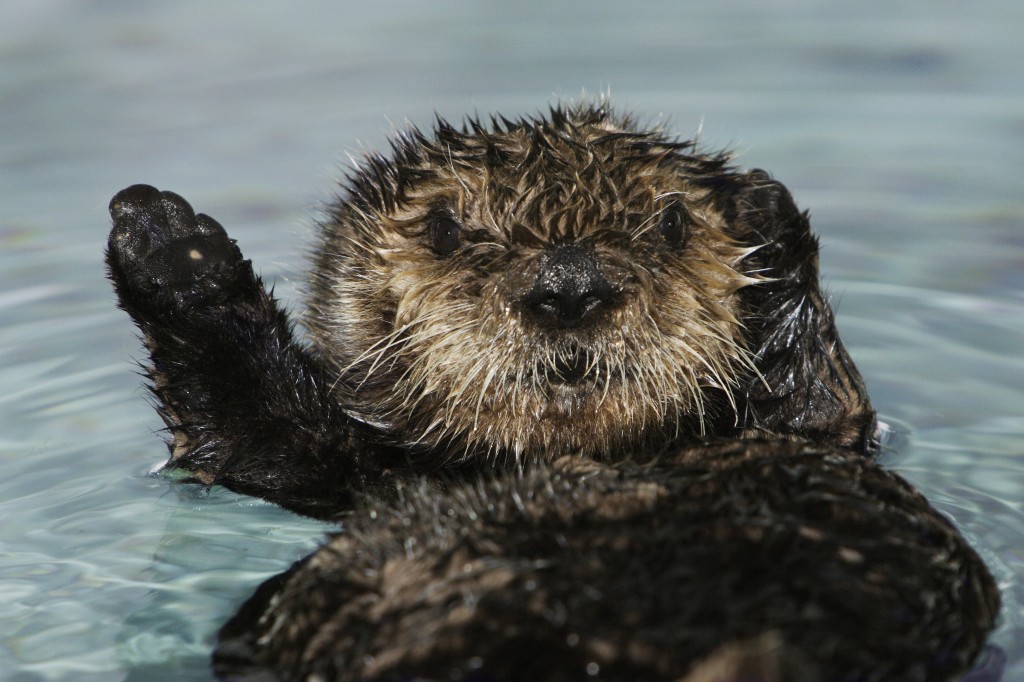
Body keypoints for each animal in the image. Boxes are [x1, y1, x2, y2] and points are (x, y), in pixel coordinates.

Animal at [106, 103, 999, 681]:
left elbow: (823, 397)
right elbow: (251, 437)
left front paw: (764, 217)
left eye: (671, 224)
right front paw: (170, 243)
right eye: (445, 230)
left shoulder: (827, 430)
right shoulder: (354, 472)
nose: (570, 285)